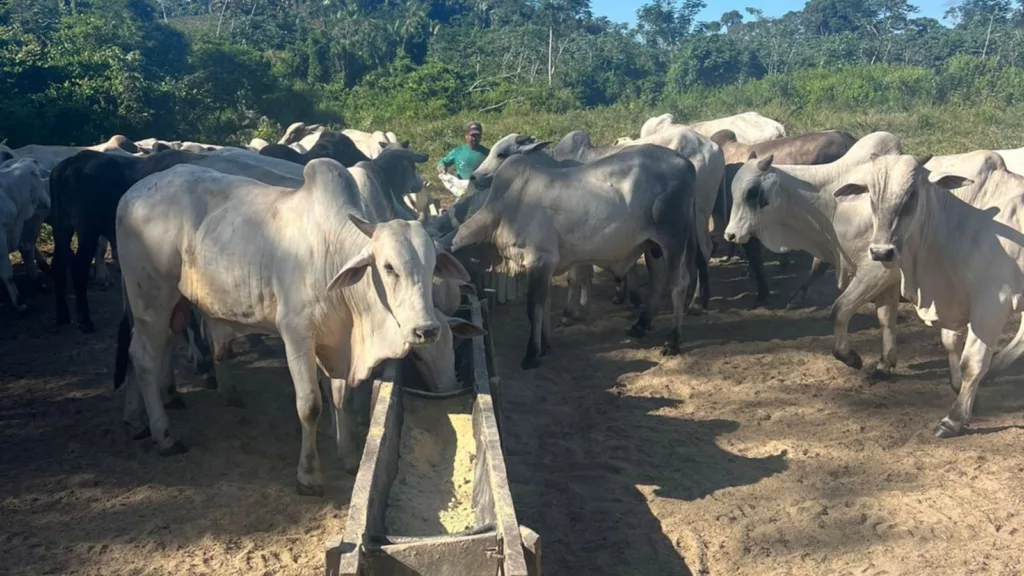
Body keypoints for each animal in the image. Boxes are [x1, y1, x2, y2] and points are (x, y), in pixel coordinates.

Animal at [116, 156, 468, 494]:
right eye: (388, 267)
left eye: (433, 266)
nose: (426, 329)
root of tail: (132, 193)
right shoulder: (298, 337)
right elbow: (311, 405)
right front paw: (309, 477)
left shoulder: (335, 343)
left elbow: (340, 399)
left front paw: (348, 457)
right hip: (152, 300)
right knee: (145, 357)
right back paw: (164, 435)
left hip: (162, 306)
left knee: (139, 352)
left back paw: (136, 420)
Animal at [831, 148, 1024, 434]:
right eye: (871, 195)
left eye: (912, 194)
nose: (881, 252)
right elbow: (950, 343)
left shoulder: (992, 302)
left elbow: (973, 362)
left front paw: (954, 419)